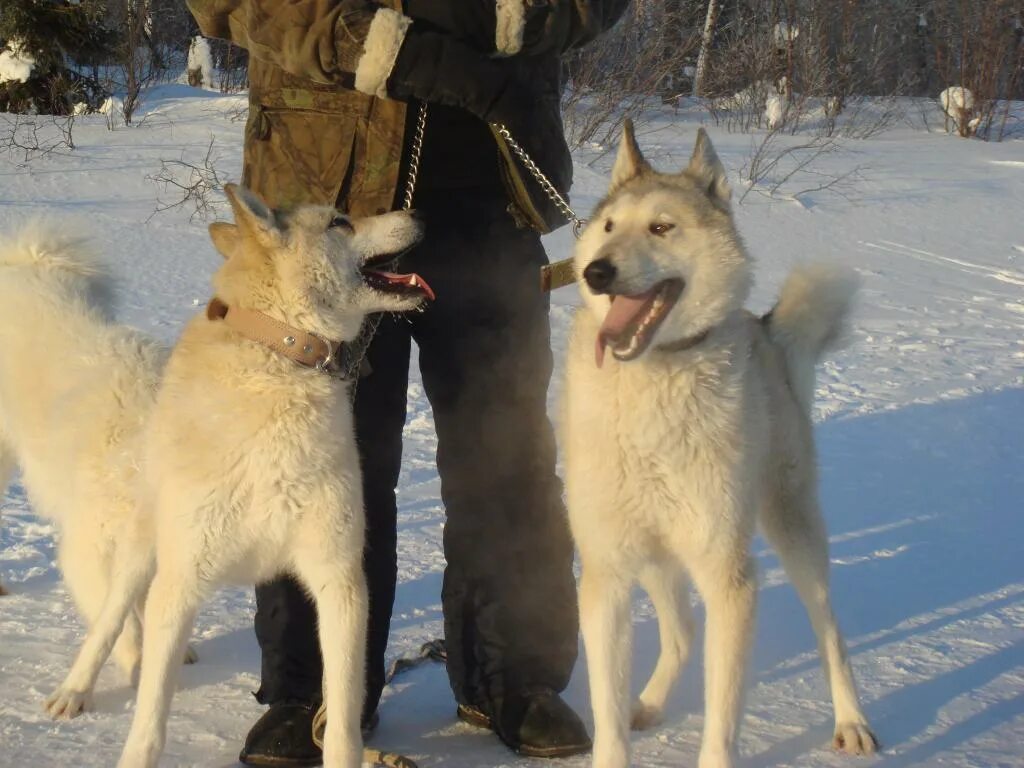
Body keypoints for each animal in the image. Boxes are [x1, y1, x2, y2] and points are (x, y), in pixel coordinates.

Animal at [113, 188, 432, 768]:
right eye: (340, 222)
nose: (418, 211)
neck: (279, 360)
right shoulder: (179, 584)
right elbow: (148, 724)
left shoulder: (339, 578)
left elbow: (342, 723)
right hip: (141, 558)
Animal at [565, 121, 876, 768]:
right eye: (608, 228)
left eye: (661, 228)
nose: (596, 272)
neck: (655, 376)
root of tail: (766, 331)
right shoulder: (608, 573)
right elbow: (608, 718)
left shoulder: (729, 579)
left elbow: (723, 716)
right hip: (657, 554)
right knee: (682, 631)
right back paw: (648, 702)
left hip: (793, 531)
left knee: (829, 630)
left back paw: (852, 720)